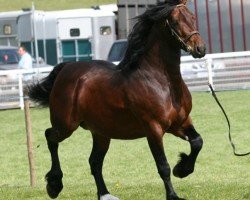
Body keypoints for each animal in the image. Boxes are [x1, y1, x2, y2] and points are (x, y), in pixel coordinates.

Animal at [28, 0, 205, 199]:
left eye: (192, 17)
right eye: (175, 21)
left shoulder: (180, 123)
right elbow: (163, 166)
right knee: (50, 137)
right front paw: (173, 194)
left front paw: (182, 169)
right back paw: (54, 185)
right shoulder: (154, 129)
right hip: (66, 125)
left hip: (101, 132)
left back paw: (104, 194)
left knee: (94, 162)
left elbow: (197, 142)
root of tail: (66, 69)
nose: (200, 49)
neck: (162, 82)